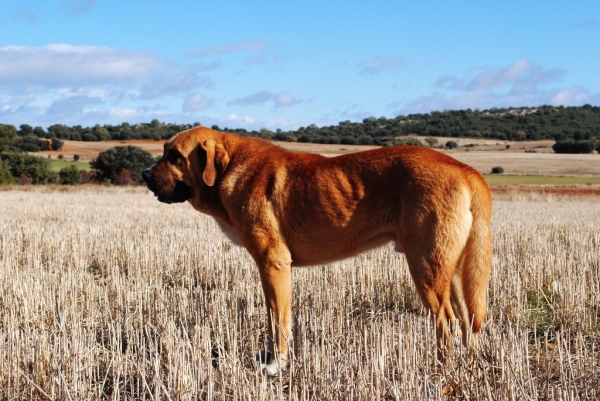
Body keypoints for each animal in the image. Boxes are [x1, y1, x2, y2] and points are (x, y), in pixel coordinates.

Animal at [144, 126, 492, 374]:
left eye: (174, 156)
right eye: (164, 152)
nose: (145, 174)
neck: (229, 168)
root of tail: (465, 169)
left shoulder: (274, 264)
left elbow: (279, 320)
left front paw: (276, 365)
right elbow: (273, 318)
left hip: (425, 267)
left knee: (446, 321)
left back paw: (442, 369)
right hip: (452, 272)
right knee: (466, 320)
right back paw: (468, 364)